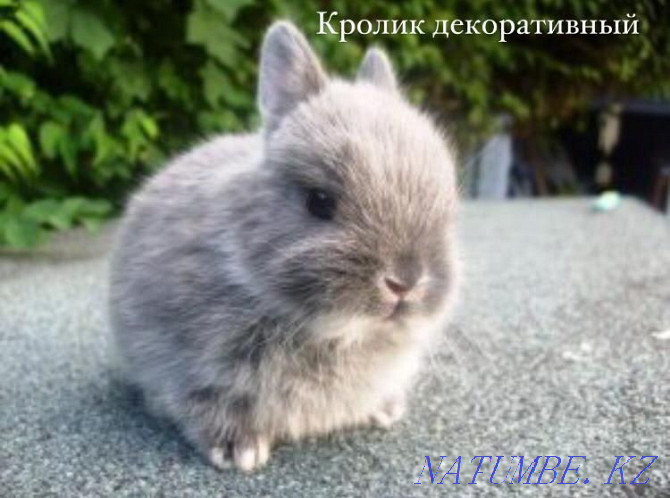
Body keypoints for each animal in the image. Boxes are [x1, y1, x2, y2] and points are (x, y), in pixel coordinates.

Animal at [111, 19, 462, 470]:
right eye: (319, 201)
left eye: (446, 204)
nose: (405, 281)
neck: (335, 332)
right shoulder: (190, 369)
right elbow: (204, 403)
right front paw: (238, 451)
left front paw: (386, 410)